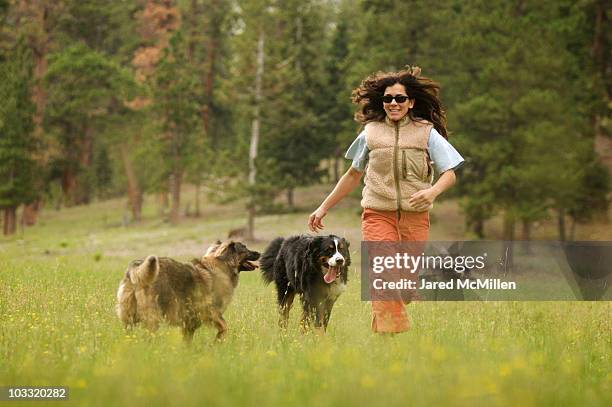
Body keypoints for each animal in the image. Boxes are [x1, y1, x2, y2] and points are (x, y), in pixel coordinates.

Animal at [116, 242, 260, 342]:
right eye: (245, 248)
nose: (259, 252)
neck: (222, 265)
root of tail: (136, 267)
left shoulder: (189, 324)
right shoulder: (211, 312)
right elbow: (225, 326)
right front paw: (217, 342)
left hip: (130, 319)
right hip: (153, 318)